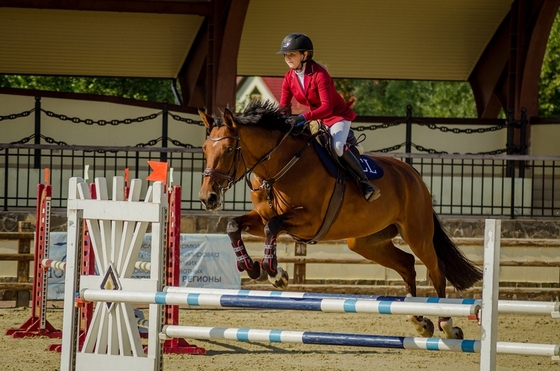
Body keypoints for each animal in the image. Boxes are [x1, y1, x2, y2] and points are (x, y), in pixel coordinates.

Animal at [198, 101, 482, 340]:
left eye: (227, 149)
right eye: (204, 149)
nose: (207, 197)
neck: (278, 167)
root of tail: (413, 174)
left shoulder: (310, 221)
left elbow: (273, 227)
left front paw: (275, 274)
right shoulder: (262, 216)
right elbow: (235, 226)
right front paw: (253, 267)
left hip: (417, 233)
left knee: (436, 269)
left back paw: (447, 324)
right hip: (366, 242)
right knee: (407, 264)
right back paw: (418, 320)